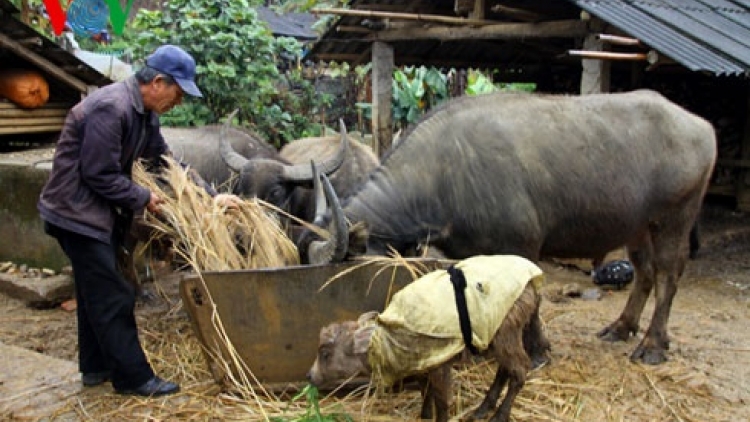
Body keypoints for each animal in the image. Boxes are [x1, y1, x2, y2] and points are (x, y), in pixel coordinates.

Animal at [306, 90, 724, 366]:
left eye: (343, 275)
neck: (445, 173)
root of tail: (700, 126)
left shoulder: (523, 247)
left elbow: (531, 300)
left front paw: (536, 350)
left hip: (673, 221)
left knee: (668, 275)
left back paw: (653, 345)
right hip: (637, 228)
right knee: (646, 273)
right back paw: (621, 327)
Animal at [308, 254, 548, 422]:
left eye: (325, 353)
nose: (310, 376)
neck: (387, 341)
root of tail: (532, 280)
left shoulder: (439, 363)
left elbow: (442, 400)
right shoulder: (423, 364)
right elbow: (426, 391)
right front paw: (424, 415)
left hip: (507, 329)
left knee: (519, 370)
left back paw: (499, 415)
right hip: (496, 334)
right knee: (505, 370)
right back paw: (483, 409)